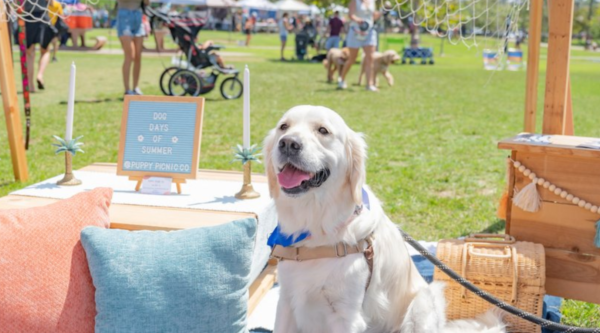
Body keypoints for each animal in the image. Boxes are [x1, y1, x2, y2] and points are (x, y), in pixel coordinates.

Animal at [264, 104, 504, 332]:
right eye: (284, 127)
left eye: (323, 130)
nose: (288, 143)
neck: (316, 225)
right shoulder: (286, 303)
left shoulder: (346, 316)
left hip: (422, 305)